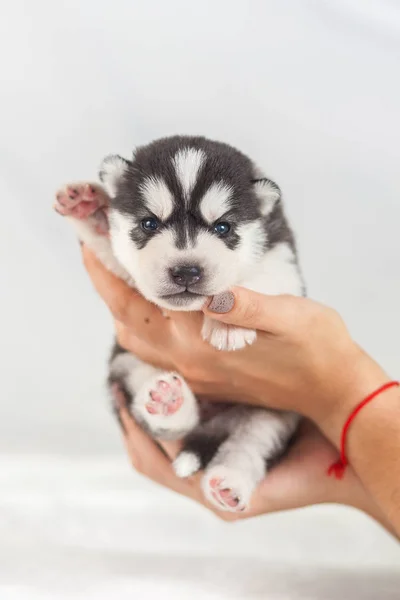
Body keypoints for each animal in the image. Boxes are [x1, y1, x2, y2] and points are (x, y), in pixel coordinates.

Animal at [53, 137, 304, 516]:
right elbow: (112, 249)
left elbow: (265, 275)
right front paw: (89, 208)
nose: (186, 272)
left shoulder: (285, 262)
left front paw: (228, 325)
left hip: (273, 412)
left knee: (250, 447)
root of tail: (213, 420)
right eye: (148, 224)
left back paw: (230, 482)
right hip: (126, 365)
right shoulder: (131, 275)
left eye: (222, 227)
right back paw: (170, 403)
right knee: (170, 422)